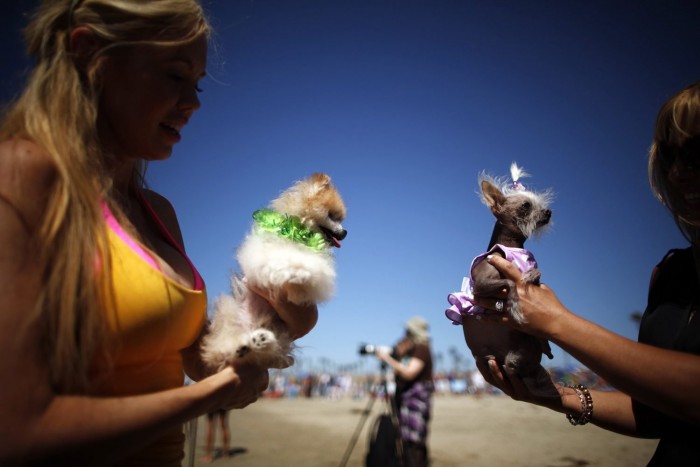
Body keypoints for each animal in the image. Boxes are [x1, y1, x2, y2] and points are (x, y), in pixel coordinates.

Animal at [201, 174, 346, 372]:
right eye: (332, 215)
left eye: (340, 219)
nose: (345, 232)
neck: (297, 232)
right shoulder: (261, 253)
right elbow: (280, 259)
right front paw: (297, 270)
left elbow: (312, 272)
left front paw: (300, 281)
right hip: (229, 311)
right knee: (221, 347)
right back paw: (241, 345)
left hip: (277, 330)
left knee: (270, 349)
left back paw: (260, 340)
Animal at [448, 163, 556, 396]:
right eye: (525, 206)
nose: (549, 212)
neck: (513, 247)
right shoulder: (480, 286)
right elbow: (511, 282)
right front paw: (514, 304)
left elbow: (536, 275)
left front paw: (531, 275)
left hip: (522, 352)